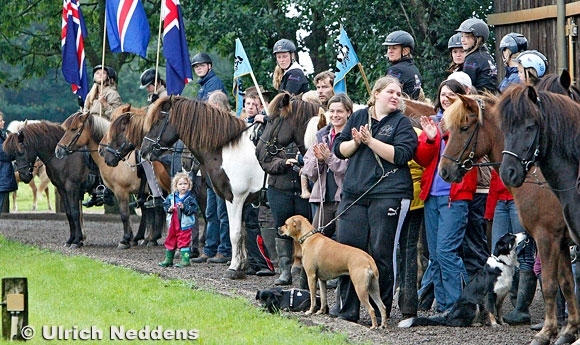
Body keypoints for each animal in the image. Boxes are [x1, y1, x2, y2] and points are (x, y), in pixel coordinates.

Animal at [440, 92, 580, 344]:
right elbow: (566, 283)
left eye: (464, 128)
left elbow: (549, 284)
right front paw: (569, 331)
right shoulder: (562, 240)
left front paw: (547, 332)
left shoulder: (546, 238)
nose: (444, 170)